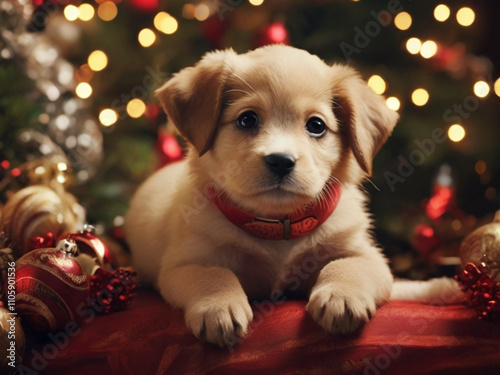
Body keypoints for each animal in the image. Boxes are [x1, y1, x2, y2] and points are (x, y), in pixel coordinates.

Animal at [127, 44, 400, 346]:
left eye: (316, 125)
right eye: (247, 119)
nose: (280, 161)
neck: (277, 228)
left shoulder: (370, 257)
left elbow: (346, 265)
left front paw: (341, 295)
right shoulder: (184, 263)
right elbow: (214, 275)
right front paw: (218, 305)